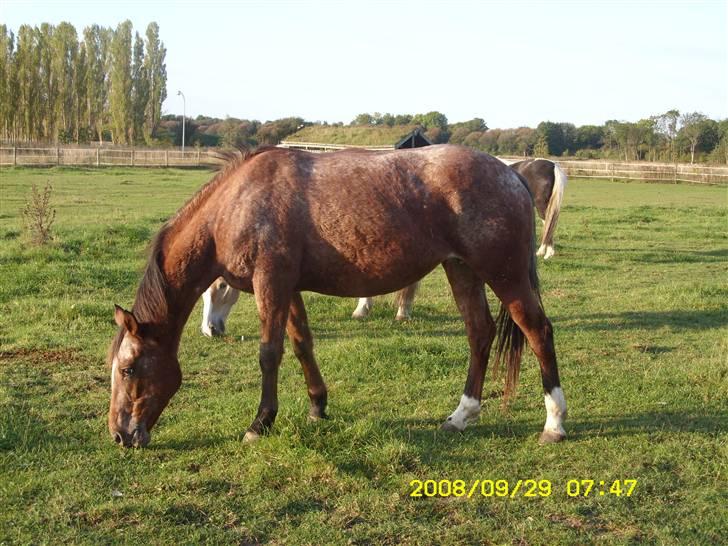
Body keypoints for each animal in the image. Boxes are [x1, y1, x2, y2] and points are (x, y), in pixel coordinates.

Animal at [108, 144, 564, 446]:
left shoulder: (270, 283)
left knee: (538, 330)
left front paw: (260, 423)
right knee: (479, 333)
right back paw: (461, 415)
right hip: (462, 270)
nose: (121, 434)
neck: (237, 203)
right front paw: (317, 407)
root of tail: (511, 174)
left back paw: (554, 423)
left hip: (503, 274)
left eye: (129, 369)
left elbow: (269, 353)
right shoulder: (287, 288)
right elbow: (301, 345)